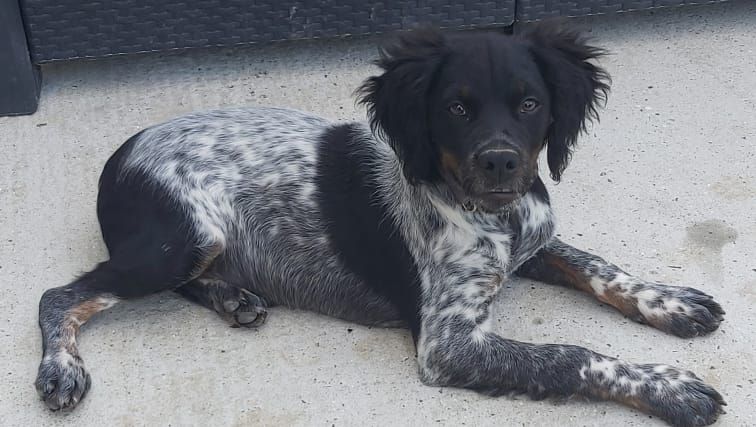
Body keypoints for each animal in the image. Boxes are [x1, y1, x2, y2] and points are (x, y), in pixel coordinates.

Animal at [35, 23, 728, 427]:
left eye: (531, 104)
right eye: (456, 109)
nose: (500, 162)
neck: (494, 214)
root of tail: (120, 153)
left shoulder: (534, 243)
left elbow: (600, 268)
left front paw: (670, 302)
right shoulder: (449, 345)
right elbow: (571, 355)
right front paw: (668, 388)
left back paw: (234, 296)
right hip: (181, 240)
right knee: (61, 295)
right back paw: (61, 368)